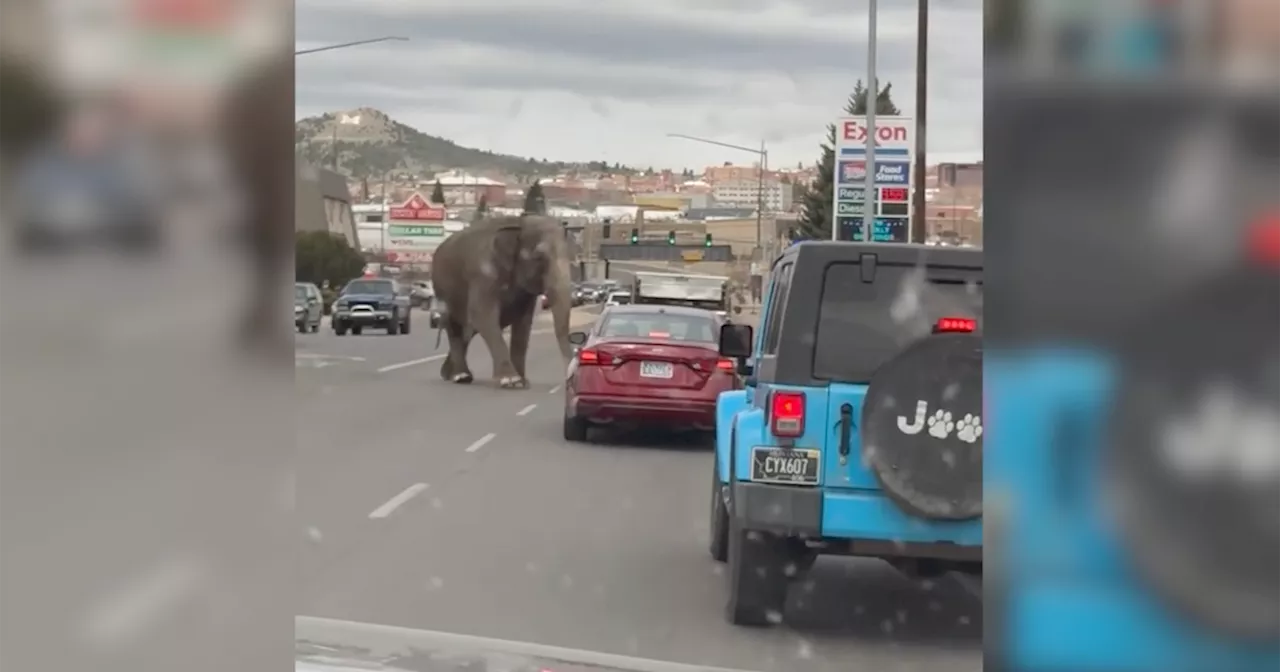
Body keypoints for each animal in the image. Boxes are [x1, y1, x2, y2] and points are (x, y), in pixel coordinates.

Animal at [427, 215, 573, 386]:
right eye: (539, 257)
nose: (568, 378)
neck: (519, 223)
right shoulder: (482, 275)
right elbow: (482, 315)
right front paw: (511, 381)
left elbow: (523, 322)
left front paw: (522, 382)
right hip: (443, 290)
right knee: (455, 327)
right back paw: (460, 376)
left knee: (468, 331)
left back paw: (449, 374)